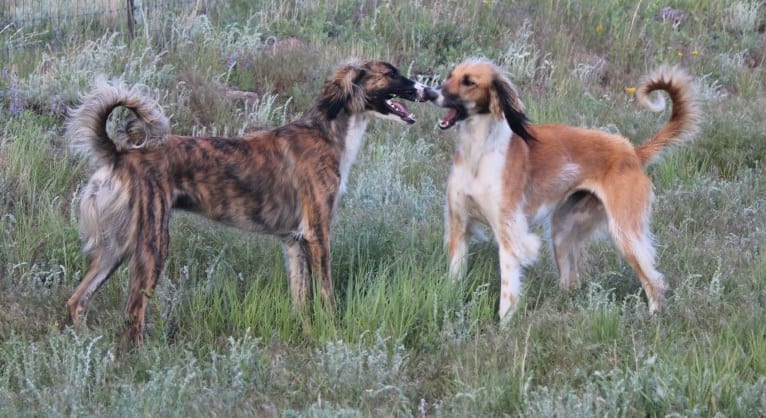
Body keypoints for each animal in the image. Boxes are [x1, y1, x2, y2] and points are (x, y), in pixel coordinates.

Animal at [432, 57, 704, 322]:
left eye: (469, 81)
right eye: (450, 75)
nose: (432, 93)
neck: (478, 154)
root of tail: (633, 152)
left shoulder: (509, 234)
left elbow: (507, 293)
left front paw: (504, 326)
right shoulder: (459, 225)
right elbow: (454, 279)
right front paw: (449, 302)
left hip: (624, 233)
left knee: (654, 279)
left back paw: (653, 316)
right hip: (562, 230)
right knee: (570, 282)